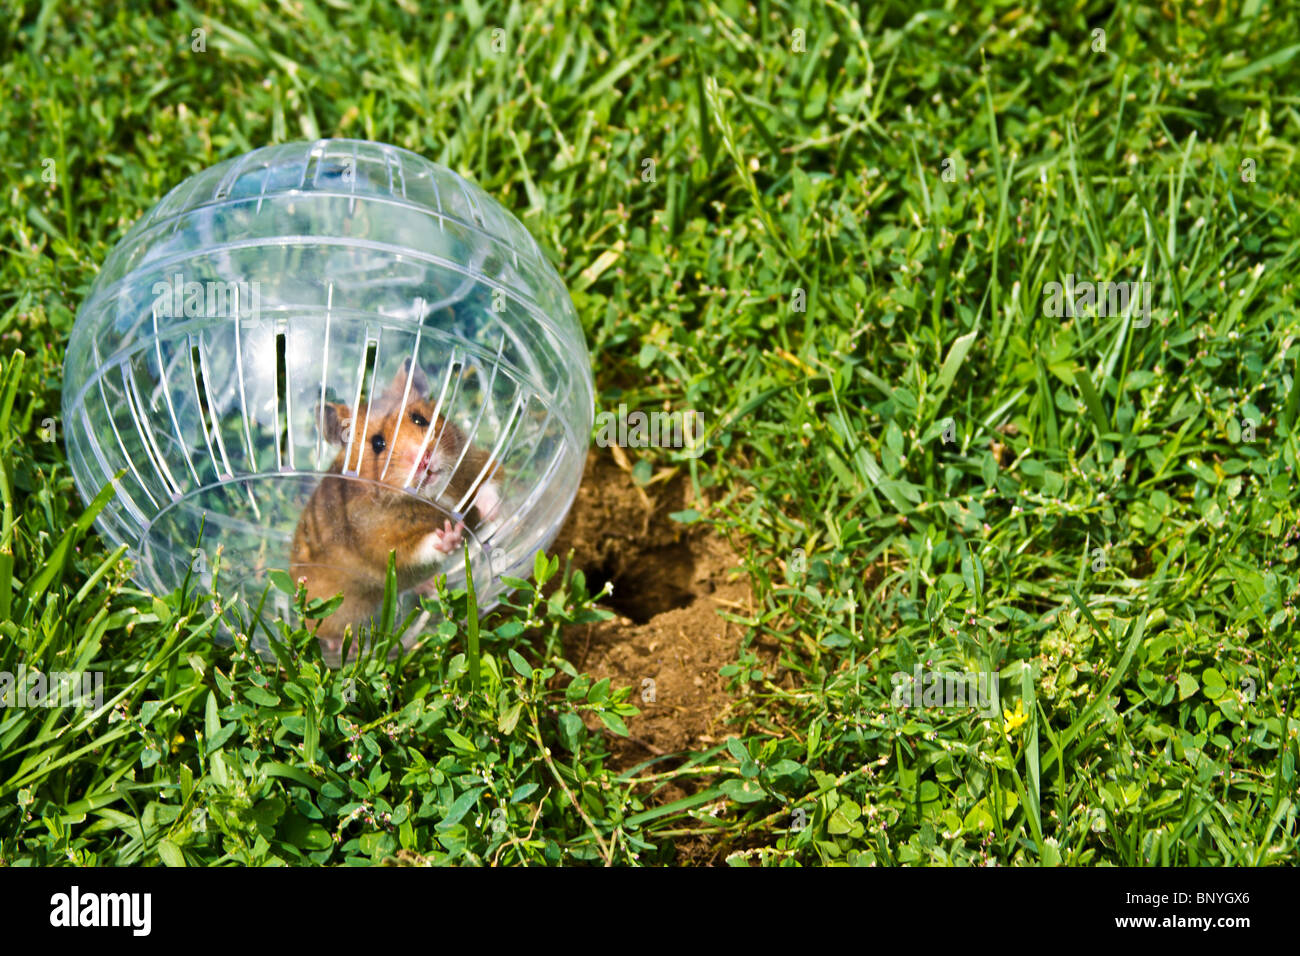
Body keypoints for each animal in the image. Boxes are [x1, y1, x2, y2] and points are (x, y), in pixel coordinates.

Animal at [289, 358, 503, 660]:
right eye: (378, 443)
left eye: (420, 419)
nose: (425, 459)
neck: (430, 495)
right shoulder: (381, 542)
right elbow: (417, 547)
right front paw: (450, 535)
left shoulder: (476, 459)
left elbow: (487, 482)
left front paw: (494, 511)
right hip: (335, 607)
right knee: (321, 628)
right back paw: (346, 647)